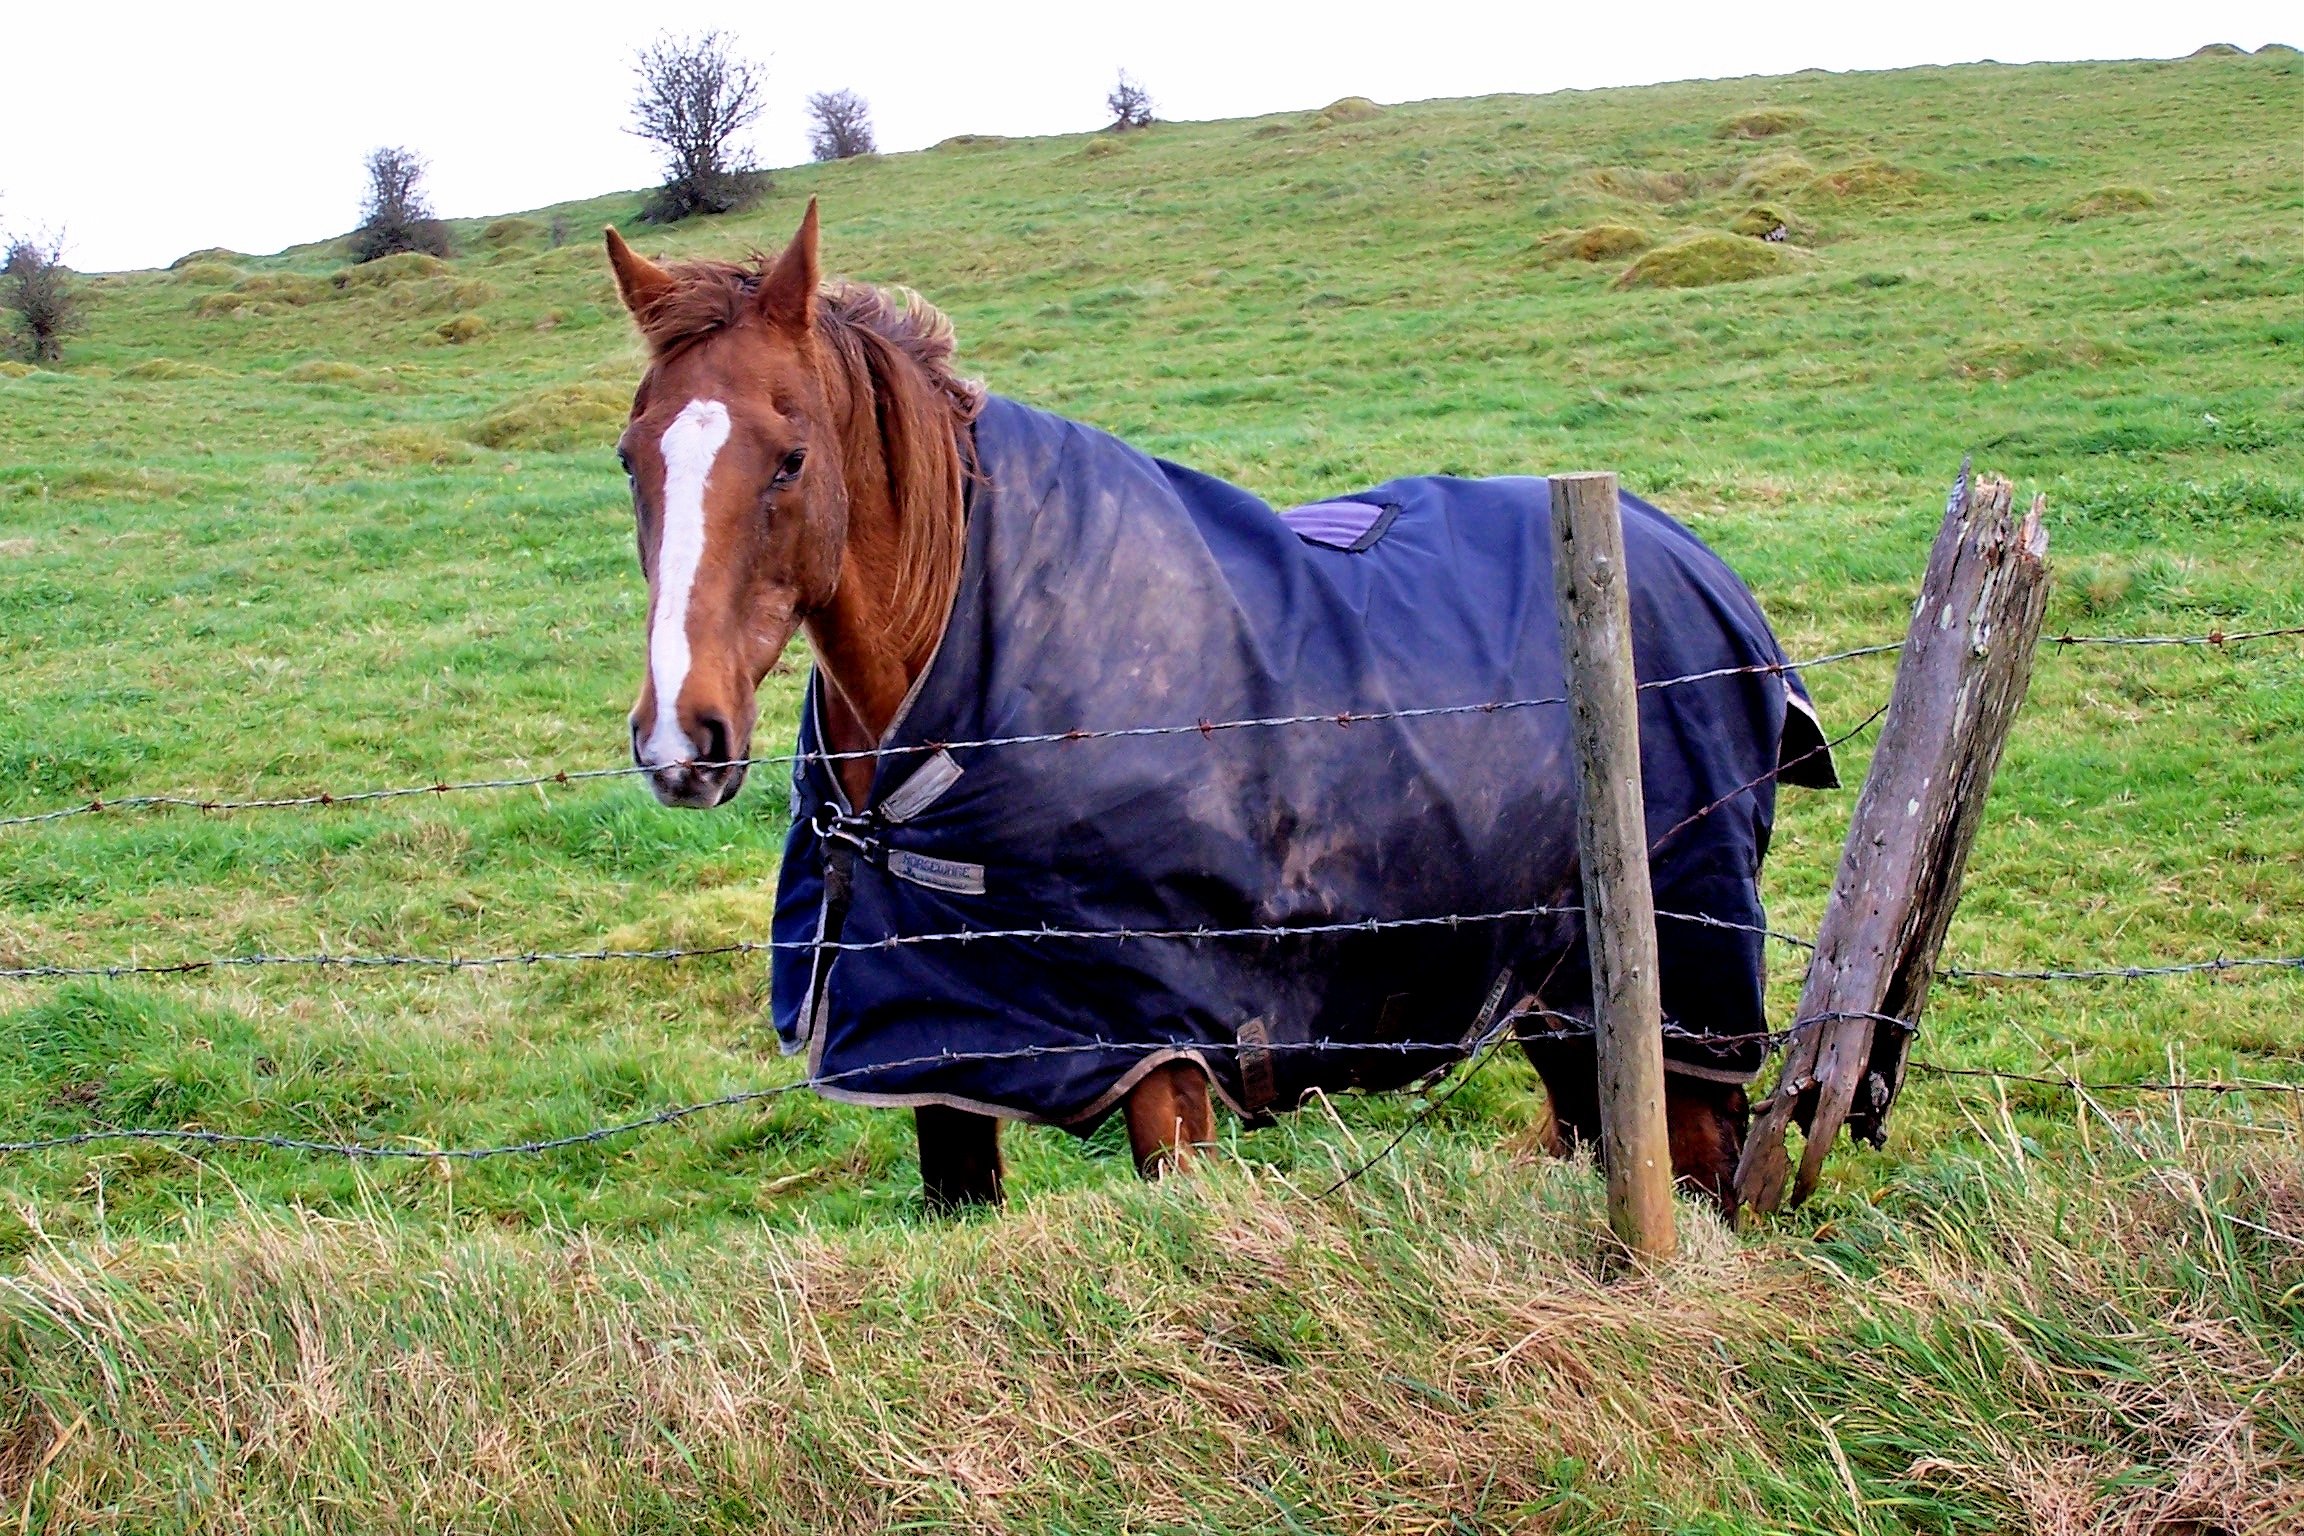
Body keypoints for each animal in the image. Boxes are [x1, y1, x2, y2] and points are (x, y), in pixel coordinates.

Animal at [604, 201, 1832, 1213]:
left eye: (790, 459)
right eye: (629, 460)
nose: (680, 738)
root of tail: (1699, 565)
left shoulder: (1165, 1055)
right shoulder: (944, 1052)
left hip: (1683, 977)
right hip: (1562, 995)